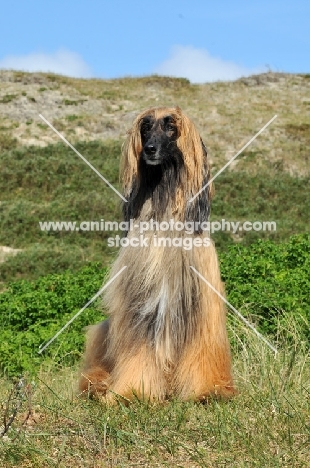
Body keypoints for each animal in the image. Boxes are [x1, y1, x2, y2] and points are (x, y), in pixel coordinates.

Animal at [79, 106, 235, 402]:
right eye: (145, 127)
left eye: (171, 126)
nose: (150, 150)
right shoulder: (140, 307)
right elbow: (139, 352)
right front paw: (131, 393)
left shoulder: (200, 307)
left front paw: (206, 391)